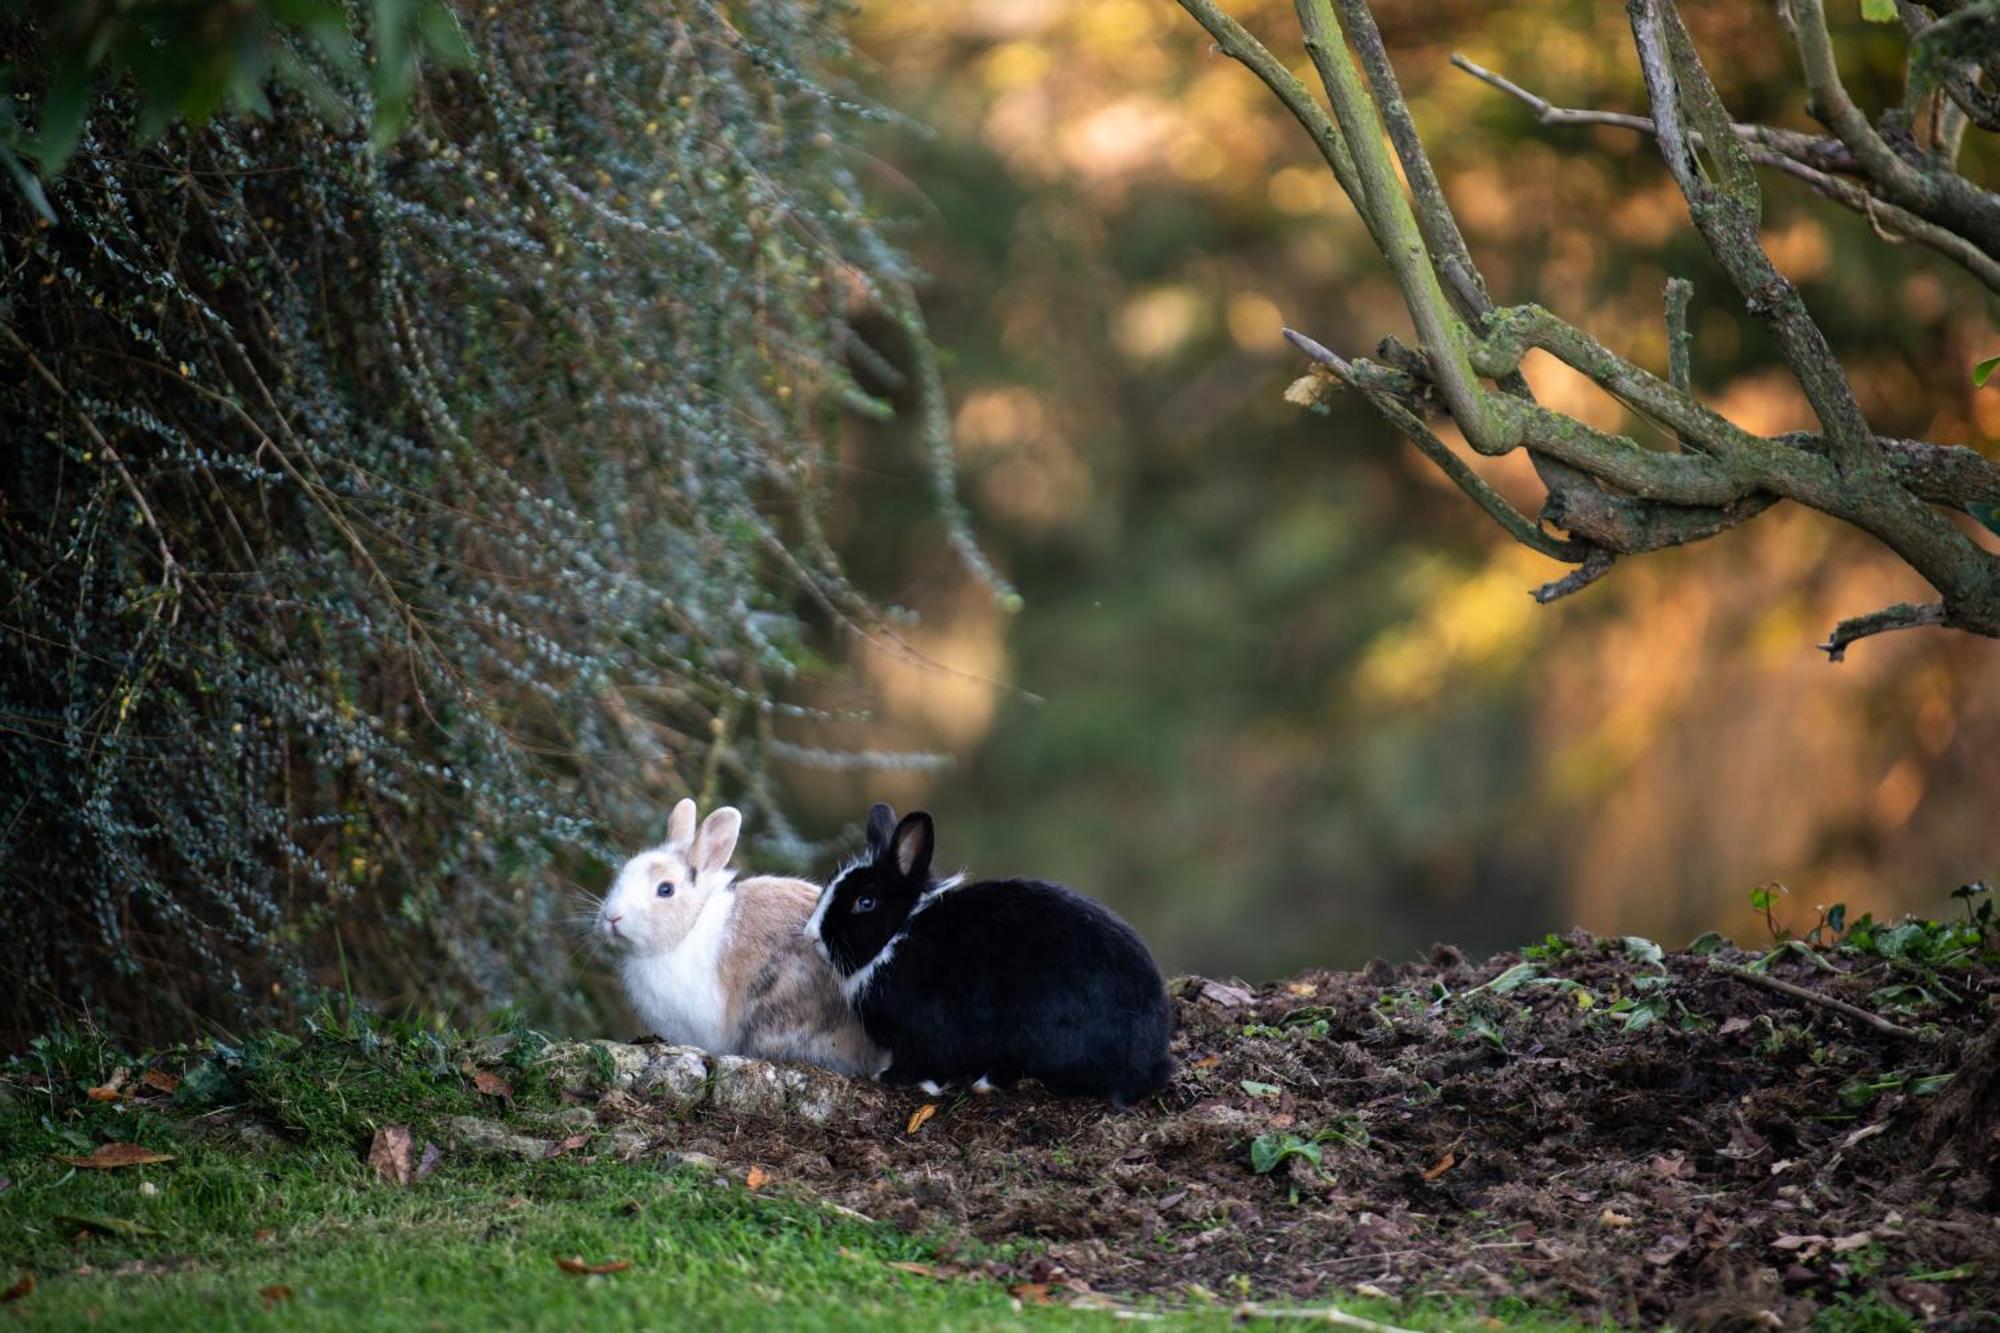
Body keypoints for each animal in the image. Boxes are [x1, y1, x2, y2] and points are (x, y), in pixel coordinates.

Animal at [796, 804, 1168, 1104]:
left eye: (865, 902)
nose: (811, 936)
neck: (900, 932)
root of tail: (1152, 1055)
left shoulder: (926, 1031)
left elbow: (923, 1061)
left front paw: (889, 1078)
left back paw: (986, 1083)